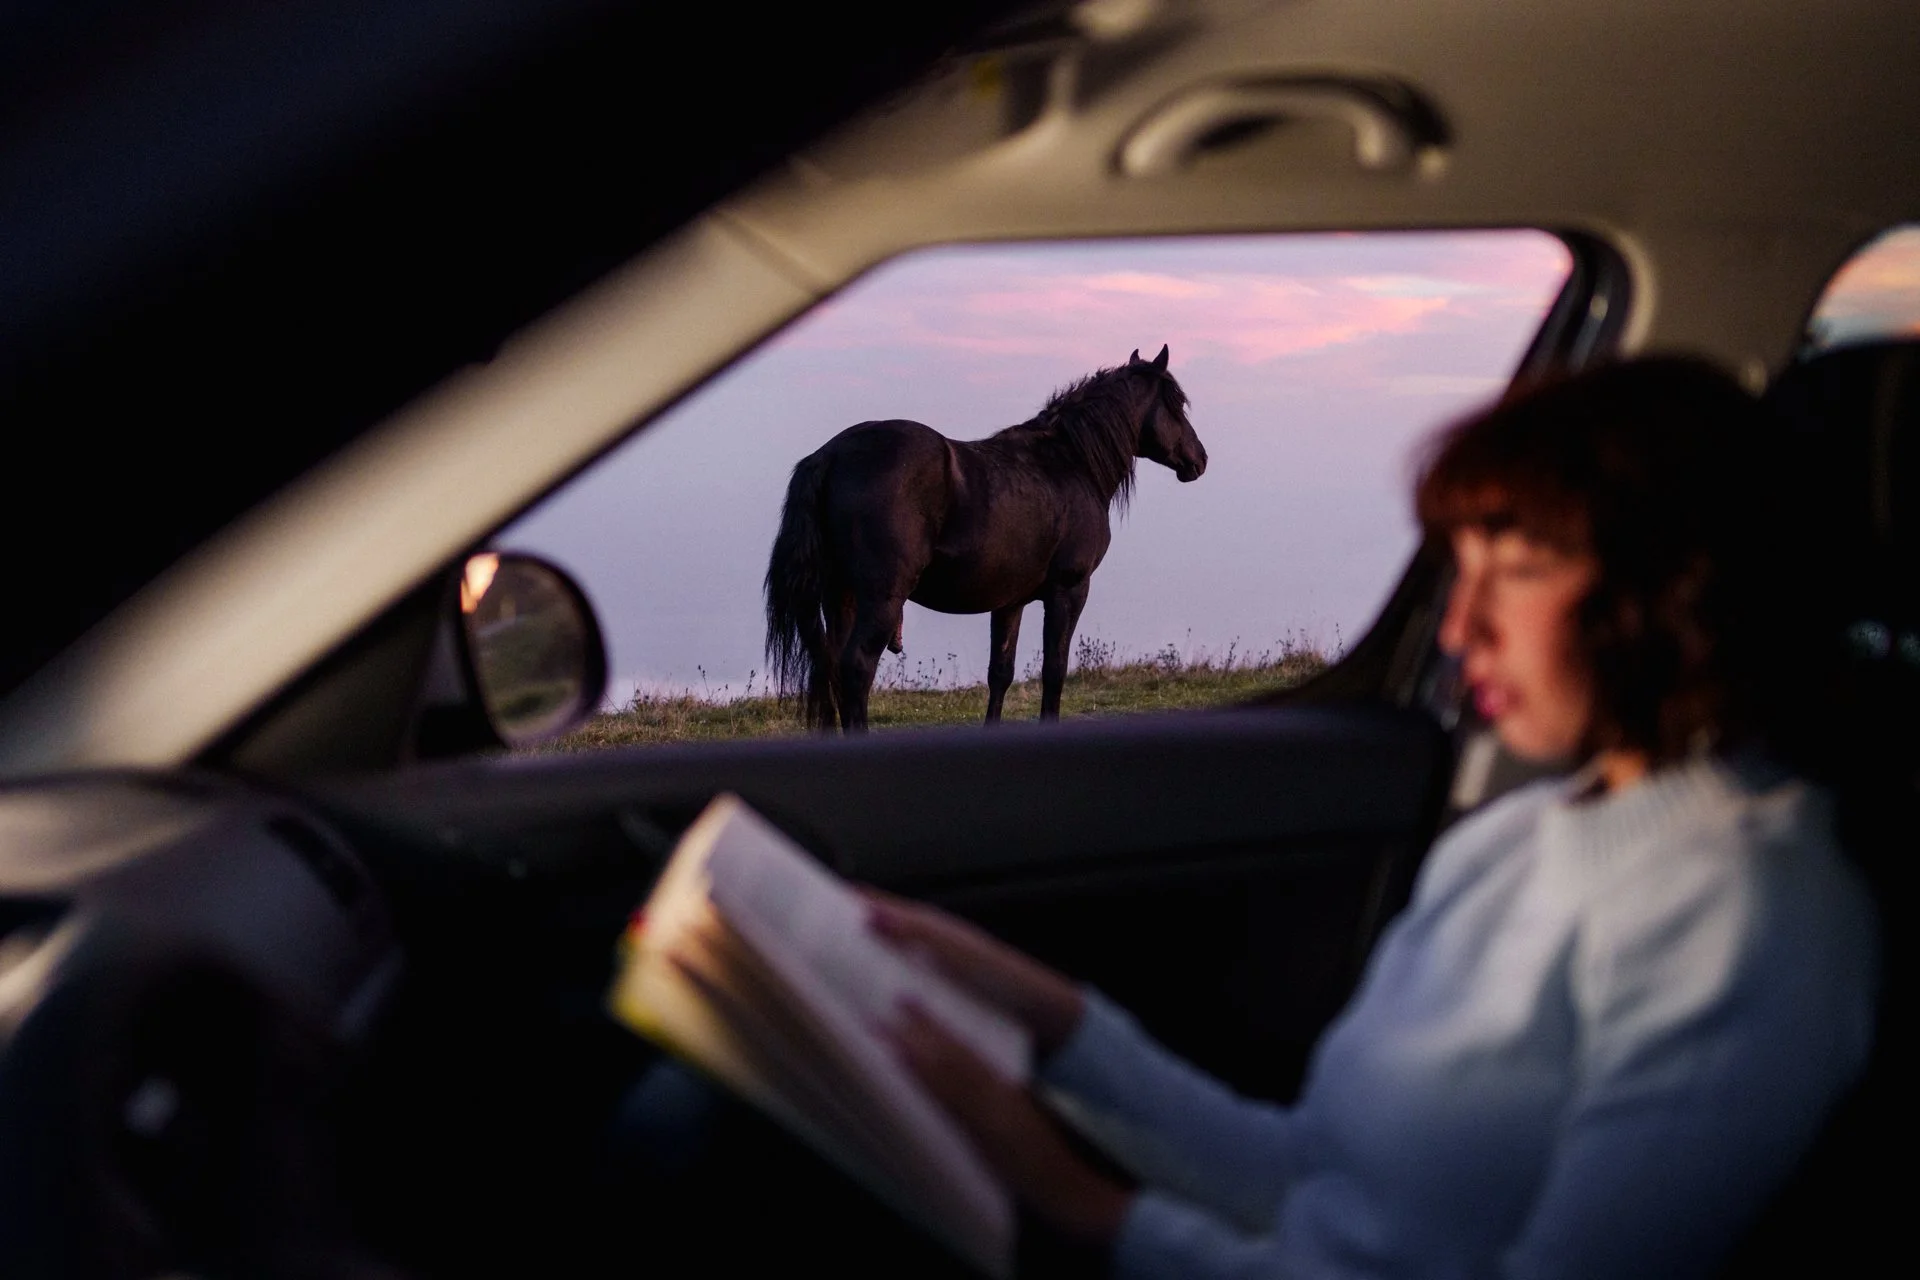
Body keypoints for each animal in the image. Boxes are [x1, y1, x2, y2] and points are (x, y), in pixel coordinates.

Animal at [764, 344, 1207, 732]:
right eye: (1176, 404)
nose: (1199, 459)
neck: (1069, 463)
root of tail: (830, 455)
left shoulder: (1009, 602)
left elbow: (1001, 673)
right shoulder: (1069, 591)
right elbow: (1054, 670)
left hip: (839, 595)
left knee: (832, 666)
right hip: (880, 599)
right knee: (856, 668)